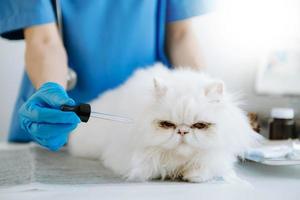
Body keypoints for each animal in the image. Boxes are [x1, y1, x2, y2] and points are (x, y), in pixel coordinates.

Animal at [69, 63, 256, 182]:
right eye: (167, 124)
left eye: (199, 126)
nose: (182, 131)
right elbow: (150, 165)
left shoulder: (216, 157)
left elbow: (206, 166)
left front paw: (192, 175)